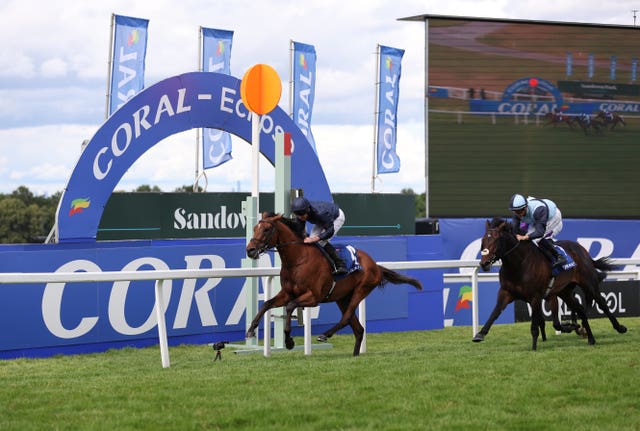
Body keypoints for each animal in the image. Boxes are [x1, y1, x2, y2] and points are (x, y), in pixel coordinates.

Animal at [244, 213, 420, 358]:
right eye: (254, 228)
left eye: (266, 229)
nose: (250, 250)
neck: (298, 260)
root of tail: (375, 265)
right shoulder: (287, 293)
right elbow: (266, 304)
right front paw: (251, 330)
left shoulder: (314, 297)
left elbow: (290, 306)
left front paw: (289, 341)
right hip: (342, 298)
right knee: (358, 329)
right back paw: (355, 355)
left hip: (361, 290)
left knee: (346, 317)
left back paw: (325, 335)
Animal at [472, 219, 628, 352]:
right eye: (483, 240)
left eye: (496, 240)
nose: (484, 263)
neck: (519, 264)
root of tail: (583, 250)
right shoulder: (505, 292)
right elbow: (494, 313)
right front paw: (480, 334)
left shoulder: (535, 297)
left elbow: (535, 325)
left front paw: (534, 348)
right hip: (565, 292)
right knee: (581, 309)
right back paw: (589, 338)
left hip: (588, 283)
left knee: (602, 303)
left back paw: (619, 327)